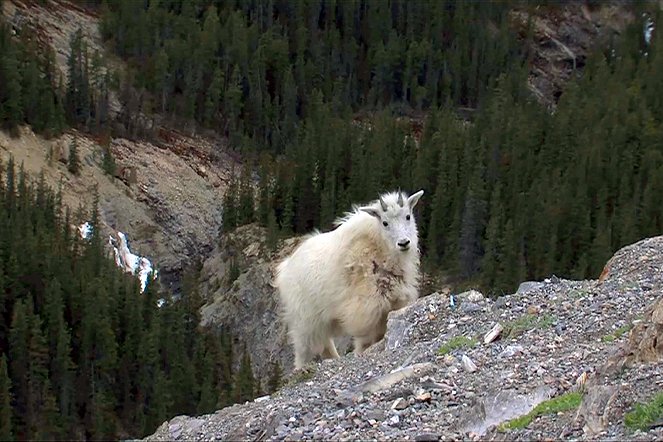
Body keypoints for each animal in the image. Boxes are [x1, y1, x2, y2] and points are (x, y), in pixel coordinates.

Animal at [276, 188, 426, 368]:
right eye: (385, 222)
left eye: (408, 216)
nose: (403, 243)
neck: (380, 248)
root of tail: (285, 267)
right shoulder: (366, 306)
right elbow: (366, 336)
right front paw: (362, 352)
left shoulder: (394, 301)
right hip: (304, 318)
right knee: (303, 348)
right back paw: (301, 367)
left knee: (325, 343)